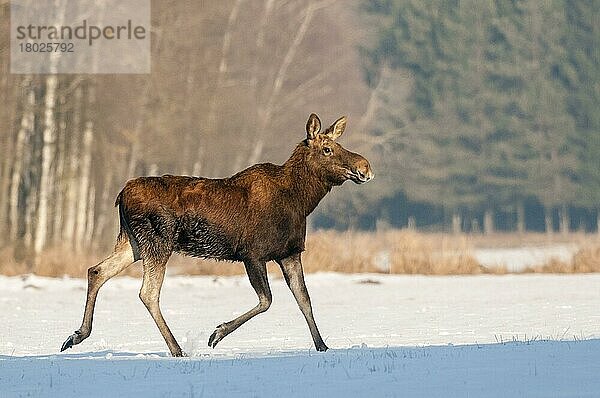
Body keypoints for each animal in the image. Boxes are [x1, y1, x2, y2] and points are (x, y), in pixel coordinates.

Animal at [59, 113, 370, 356]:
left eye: (339, 144)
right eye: (327, 149)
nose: (365, 166)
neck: (301, 200)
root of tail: (120, 195)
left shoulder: (290, 253)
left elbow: (304, 300)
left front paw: (323, 346)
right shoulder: (252, 253)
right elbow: (267, 300)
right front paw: (216, 334)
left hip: (133, 243)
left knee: (97, 270)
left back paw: (76, 335)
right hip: (158, 241)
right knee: (147, 292)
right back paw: (177, 349)